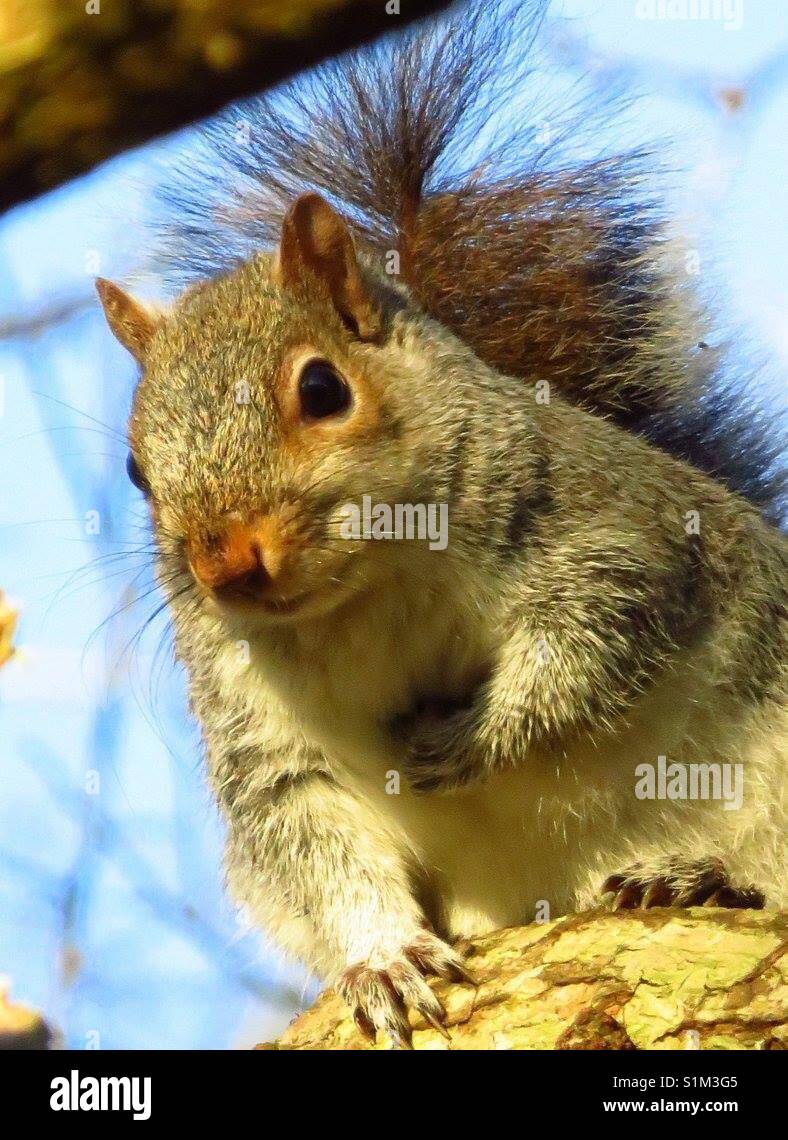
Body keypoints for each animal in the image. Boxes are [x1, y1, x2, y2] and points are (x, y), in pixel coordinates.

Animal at [95, 0, 784, 1044]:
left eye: (323, 390)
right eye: (136, 469)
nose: (224, 566)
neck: (363, 593)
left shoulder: (620, 534)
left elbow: (589, 650)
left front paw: (466, 741)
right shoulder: (266, 738)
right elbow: (314, 844)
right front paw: (383, 959)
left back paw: (703, 876)